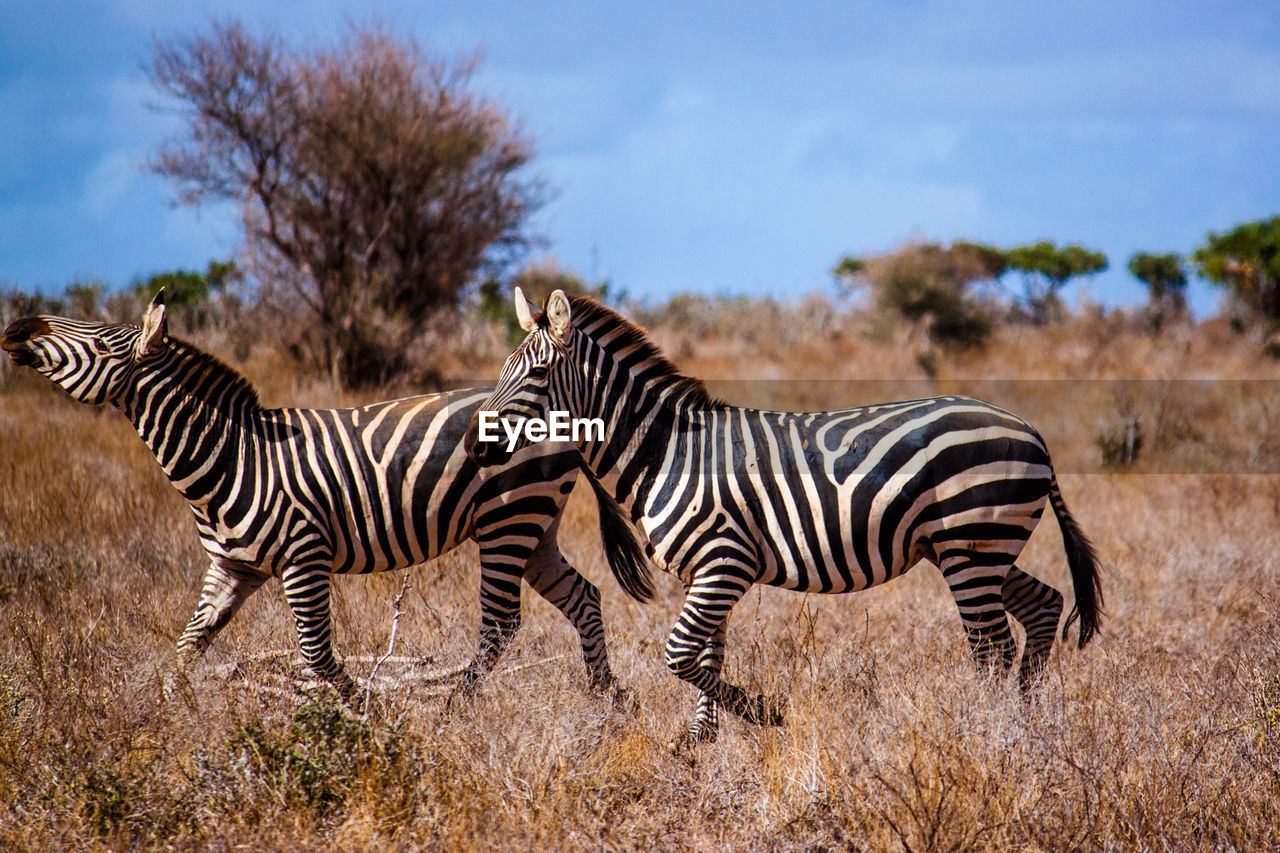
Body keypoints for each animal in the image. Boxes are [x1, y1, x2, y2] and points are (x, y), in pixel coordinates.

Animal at [2, 290, 634, 701]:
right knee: (583, 596)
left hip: (509, 518)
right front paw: (166, 720)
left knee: (501, 624)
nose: (16, 329)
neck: (233, 458)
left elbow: (317, 656)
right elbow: (186, 649)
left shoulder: (303, 557)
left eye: (98, 342)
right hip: (535, 525)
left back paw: (463, 707)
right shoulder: (232, 568)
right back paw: (606, 700)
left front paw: (360, 716)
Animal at [465, 286, 1105, 742]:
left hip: (970, 545)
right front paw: (699, 741)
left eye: (537, 374)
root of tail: (1030, 431)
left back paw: (989, 730)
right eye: (501, 370)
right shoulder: (708, 573)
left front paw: (764, 713)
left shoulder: (725, 562)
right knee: (1044, 605)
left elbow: (680, 654)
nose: (475, 446)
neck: (666, 451)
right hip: (977, 546)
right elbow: (708, 654)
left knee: (992, 647)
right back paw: (1024, 717)